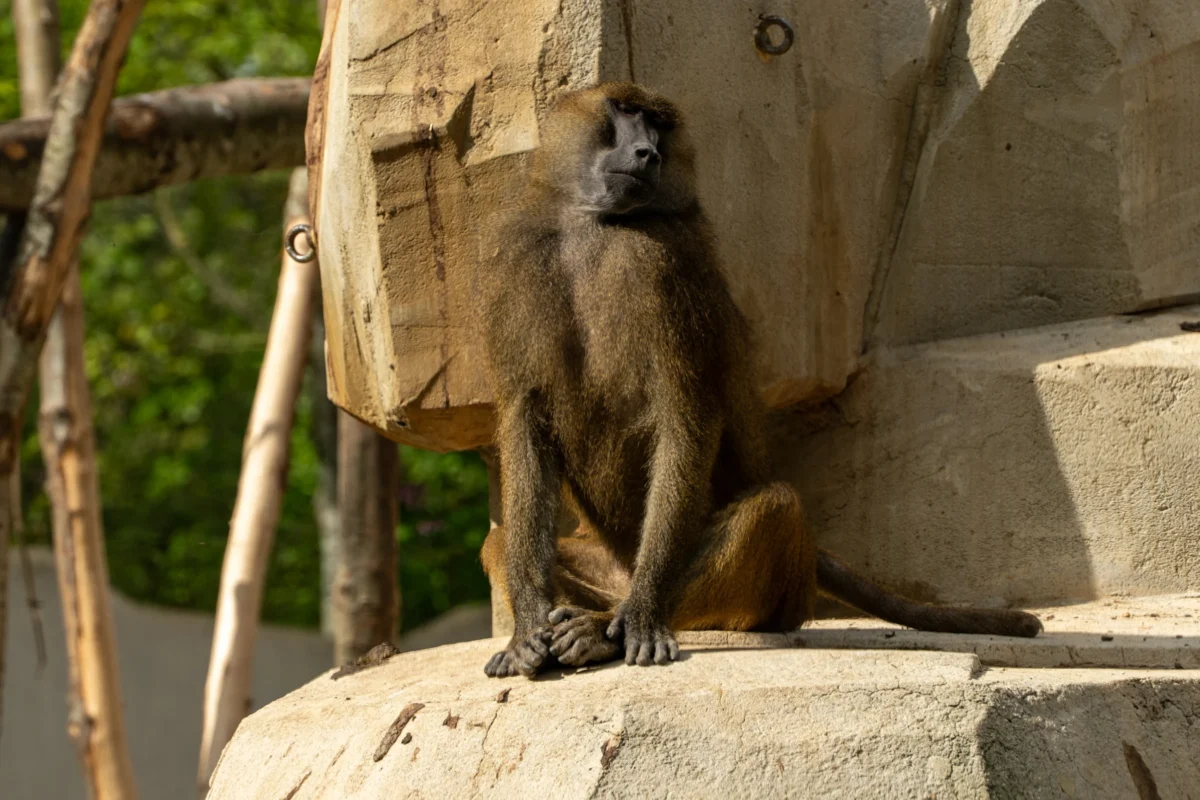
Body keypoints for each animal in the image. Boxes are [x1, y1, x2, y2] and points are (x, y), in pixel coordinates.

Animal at [475, 82, 1042, 679]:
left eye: (660, 125)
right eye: (627, 112)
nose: (649, 154)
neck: (592, 225)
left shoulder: (663, 267)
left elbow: (684, 415)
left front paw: (640, 618)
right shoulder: (514, 261)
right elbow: (525, 424)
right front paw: (527, 630)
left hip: (769, 595)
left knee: (774, 508)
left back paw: (606, 626)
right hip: (607, 564)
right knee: (498, 543)